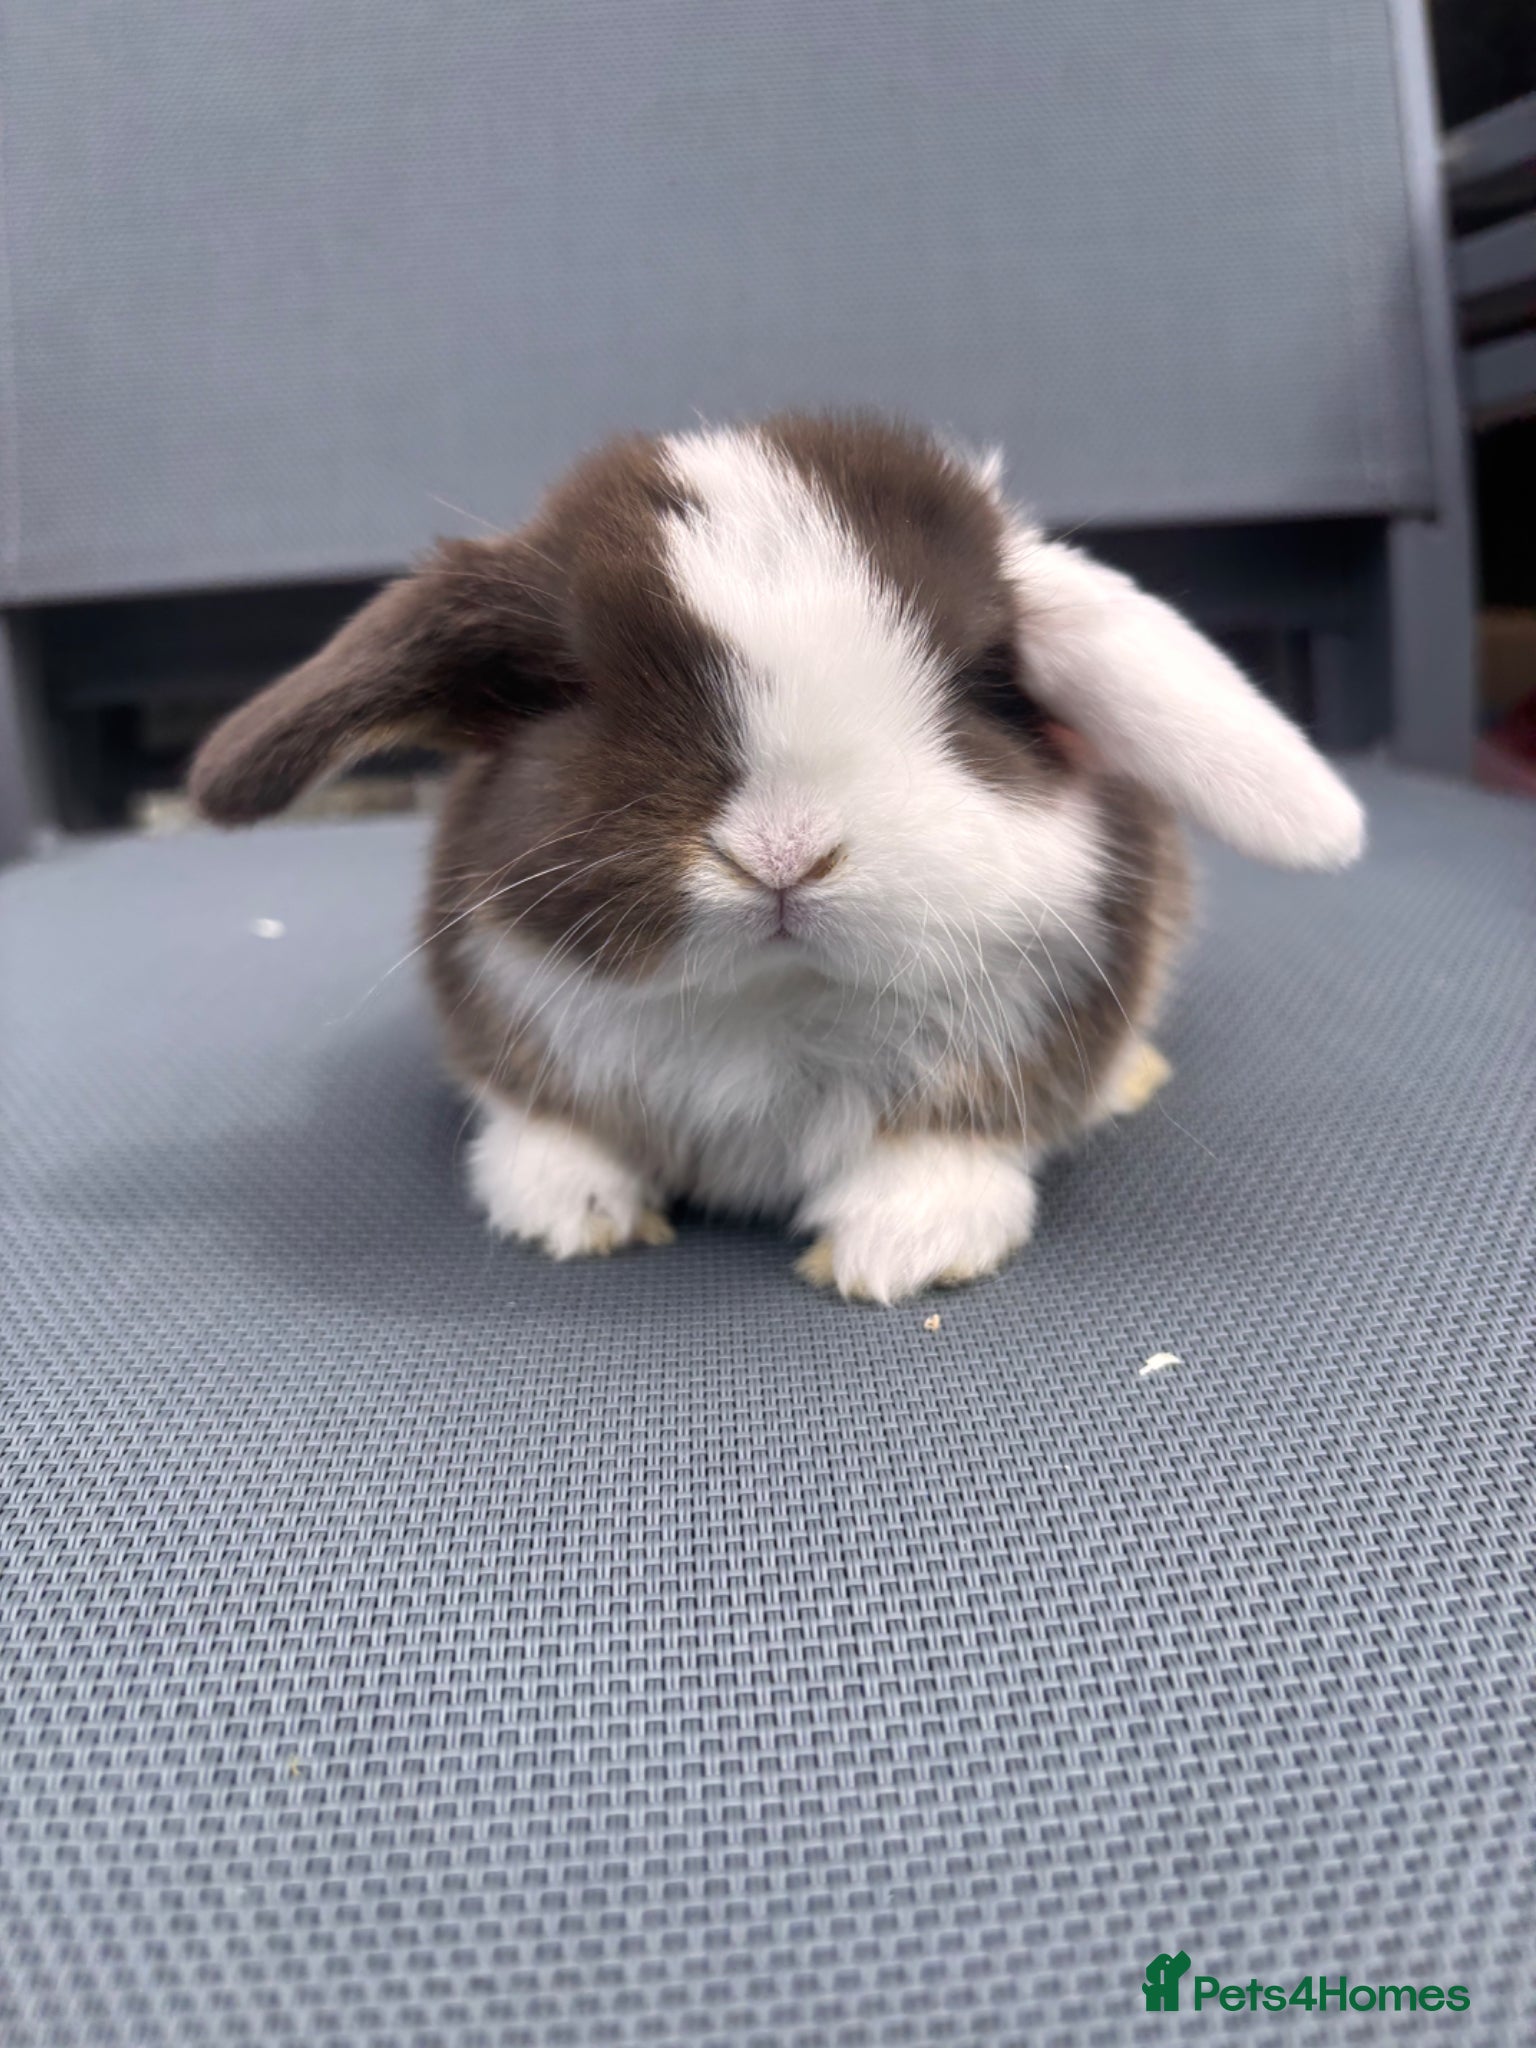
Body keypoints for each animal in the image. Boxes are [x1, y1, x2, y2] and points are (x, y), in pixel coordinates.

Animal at [189, 413, 1363, 1302]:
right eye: (574, 689)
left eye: (977, 682)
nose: (784, 852)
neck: (769, 998)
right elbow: (551, 1127)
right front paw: (563, 1209)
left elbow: (945, 1144)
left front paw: (903, 1246)